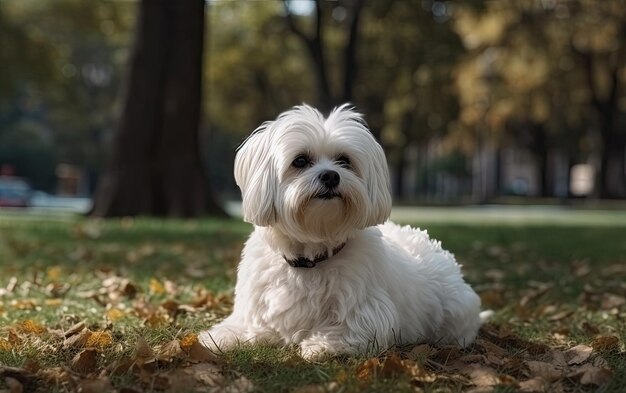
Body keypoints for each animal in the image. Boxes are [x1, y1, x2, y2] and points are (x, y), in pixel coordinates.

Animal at [197, 103, 480, 358]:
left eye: (344, 161)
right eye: (300, 161)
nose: (331, 176)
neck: (311, 256)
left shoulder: (368, 313)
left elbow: (349, 328)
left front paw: (319, 345)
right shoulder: (257, 307)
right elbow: (250, 327)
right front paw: (221, 336)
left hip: (454, 312)